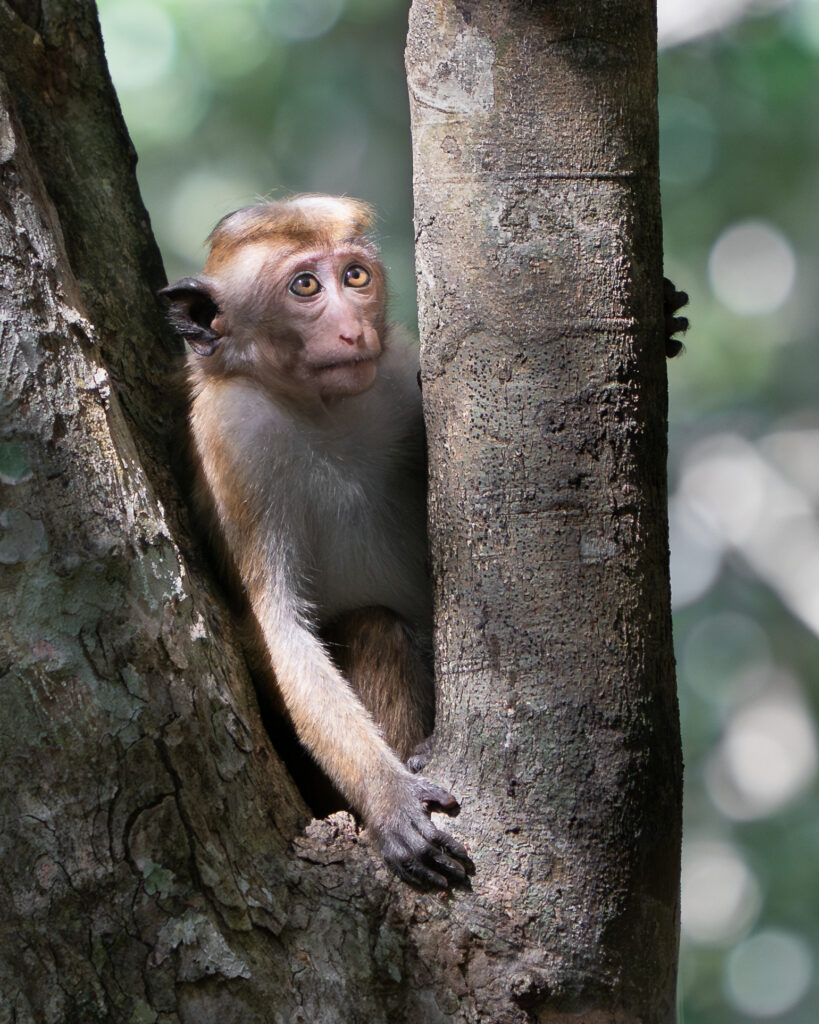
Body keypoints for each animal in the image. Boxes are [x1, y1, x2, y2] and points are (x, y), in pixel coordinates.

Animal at [160, 195, 473, 889]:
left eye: (355, 276)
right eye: (305, 286)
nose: (353, 331)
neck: (320, 408)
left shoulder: (389, 374)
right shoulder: (238, 440)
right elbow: (279, 625)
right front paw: (388, 799)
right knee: (375, 625)